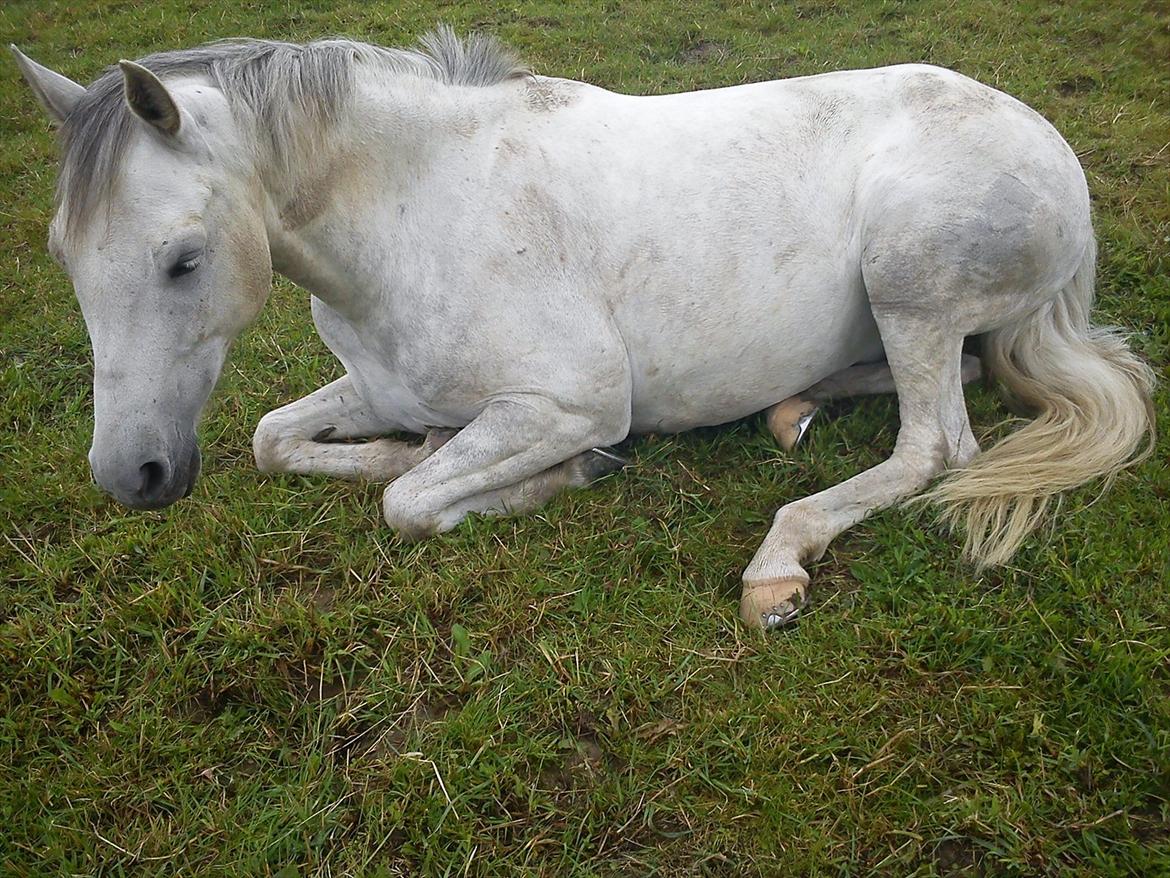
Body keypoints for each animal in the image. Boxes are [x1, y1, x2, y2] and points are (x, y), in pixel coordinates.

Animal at [12, 28, 1154, 630]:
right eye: (64, 255)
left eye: (181, 260)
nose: (131, 476)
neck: (417, 210)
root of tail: (1055, 153)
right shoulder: (377, 385)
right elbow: (273, 439)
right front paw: (412, 446)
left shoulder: (571, 400)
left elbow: (409, 503)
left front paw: (554, 476)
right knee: (944, 380)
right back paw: (790, 410)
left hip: (908, 279)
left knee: (938, 445)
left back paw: (780, 561)